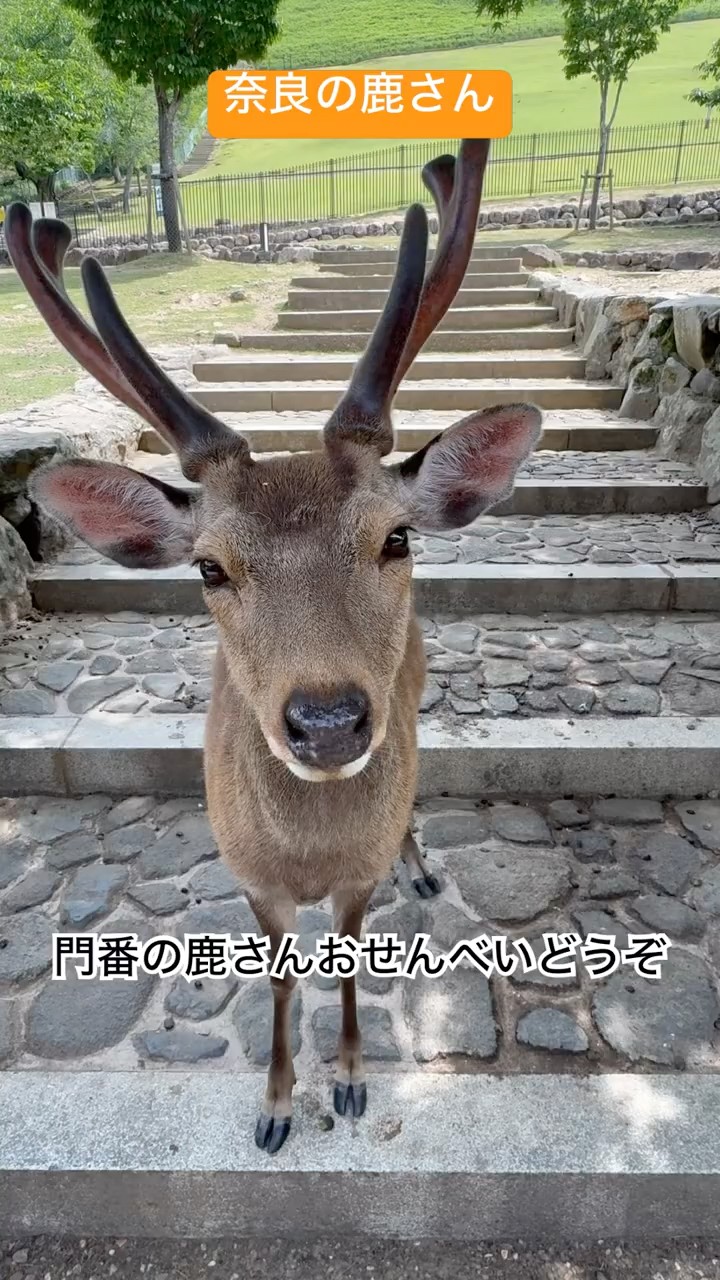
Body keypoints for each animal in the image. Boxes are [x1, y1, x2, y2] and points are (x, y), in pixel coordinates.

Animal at [7, 137, 541, 1155]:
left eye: (395, 537)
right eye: (209, 567)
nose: (328, 722)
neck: (309, 859)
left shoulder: (354, 877)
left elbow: (348, 960)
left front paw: (352, 1084)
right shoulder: (251, 880)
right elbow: (284, 979)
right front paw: (276, 1105)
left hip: (417, 692)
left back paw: (420, 865)